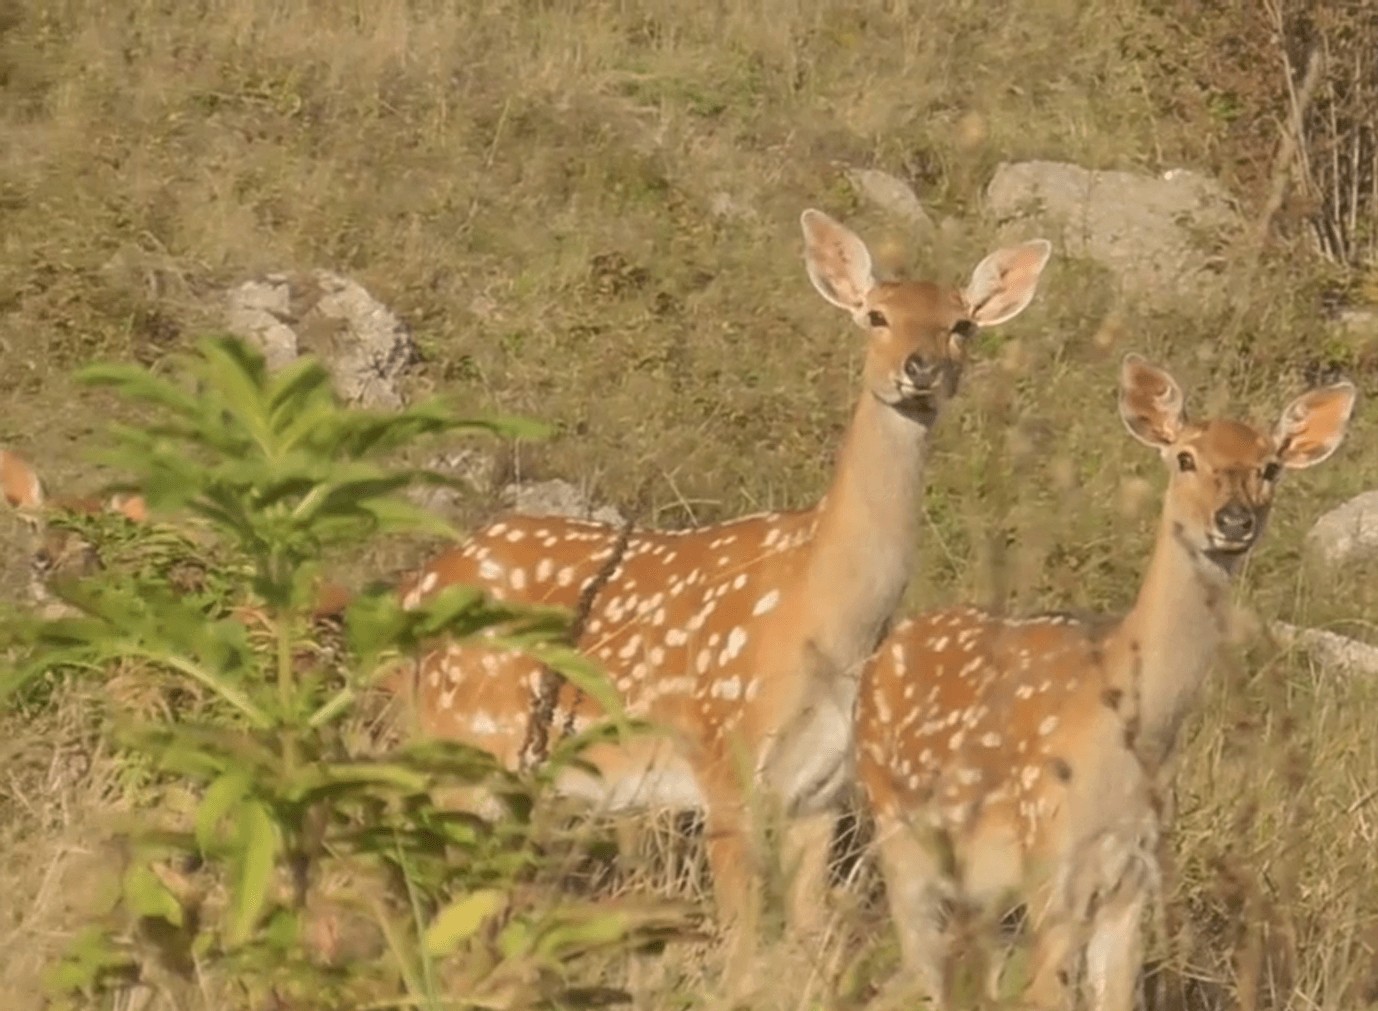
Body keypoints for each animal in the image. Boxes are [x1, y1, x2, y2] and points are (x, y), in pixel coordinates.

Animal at [399, 209, 1052, 953]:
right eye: (876, 315)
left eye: (961, 324)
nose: (921, 368)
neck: (827, 618)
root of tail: (411, 588)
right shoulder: (723, 759)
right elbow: (741, 944)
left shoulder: (822, 791)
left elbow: (806, 940)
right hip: (463, 738)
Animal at [854, 355, 1350, 1011]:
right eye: (1185, 457)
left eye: (1270, 466)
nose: (1234, 520)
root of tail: (884, 652)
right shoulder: (1051, 857)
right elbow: (1045, 994)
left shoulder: (1133, 876)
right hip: (897, 828)